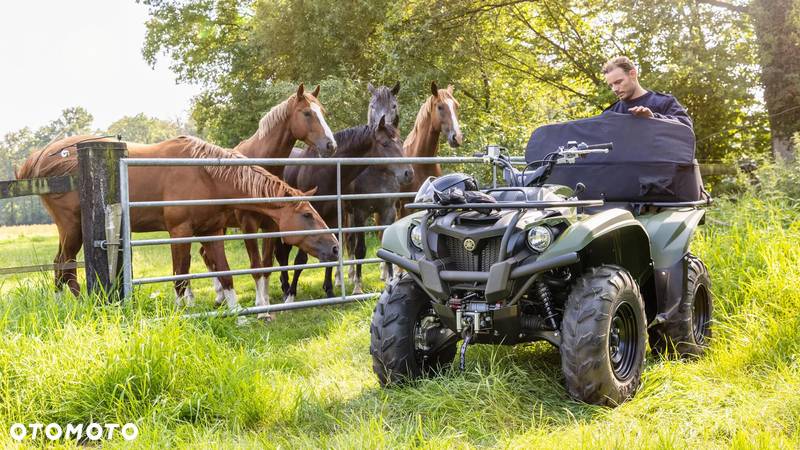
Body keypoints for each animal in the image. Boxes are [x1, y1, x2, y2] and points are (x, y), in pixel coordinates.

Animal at [17, 134, 338, 312]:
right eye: (307, 215)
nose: (335, 247)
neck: (205, 175)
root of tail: (38, 160)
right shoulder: (179, 232)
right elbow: (181, 276)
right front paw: (183, 312)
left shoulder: (212, 232)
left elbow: (225, 273)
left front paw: (237, 313)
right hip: (72, 228)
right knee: (63, 264)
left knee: (64, 267)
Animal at [198, 84, 340, 314]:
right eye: (307, 113)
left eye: (323, 112)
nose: (331, 145)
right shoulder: (248, 226)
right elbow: (256, 265)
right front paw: (260, 305)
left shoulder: (271, 226)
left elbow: (267, 265)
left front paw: (266, 303)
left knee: (205, 254)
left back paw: (220, 296)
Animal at [276, 114, 412, 300]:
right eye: (385, 143)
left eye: (401, 141)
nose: (408, 173)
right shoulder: (358, 213)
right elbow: (302, 258)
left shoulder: (386, 212)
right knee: (282, 253)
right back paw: (286, 287)